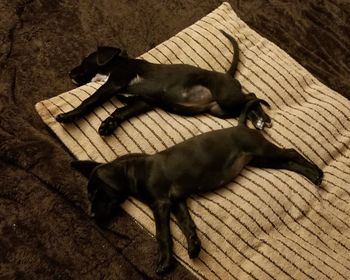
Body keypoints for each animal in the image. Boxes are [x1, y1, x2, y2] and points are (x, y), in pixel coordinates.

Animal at [56, 30, 272, 135]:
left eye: (84, 60)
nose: (69, 72)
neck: (115, 63)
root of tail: (228, 76)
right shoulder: (142, 101)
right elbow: (120, 112)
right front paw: (108, 125)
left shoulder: (115, 82)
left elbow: (89, 101)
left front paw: (67, 116)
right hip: (221, 110)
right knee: (247, 104)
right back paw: (259, 120)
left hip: (226, 98)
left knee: (251, 96)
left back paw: (263, 119)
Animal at [70, 99, 322, 276]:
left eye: (96, 192)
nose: (91, 216)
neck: (134, 170)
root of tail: (241, 125)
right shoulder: (177, 201)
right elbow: (187, 225)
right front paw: (193, 247)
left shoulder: (160, 204)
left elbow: (163, 234)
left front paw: (165, 262)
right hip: (262, 160)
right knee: (289, 163)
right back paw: (311, 176)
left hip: (262, 151)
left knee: (291, 152)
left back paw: (318, 174)